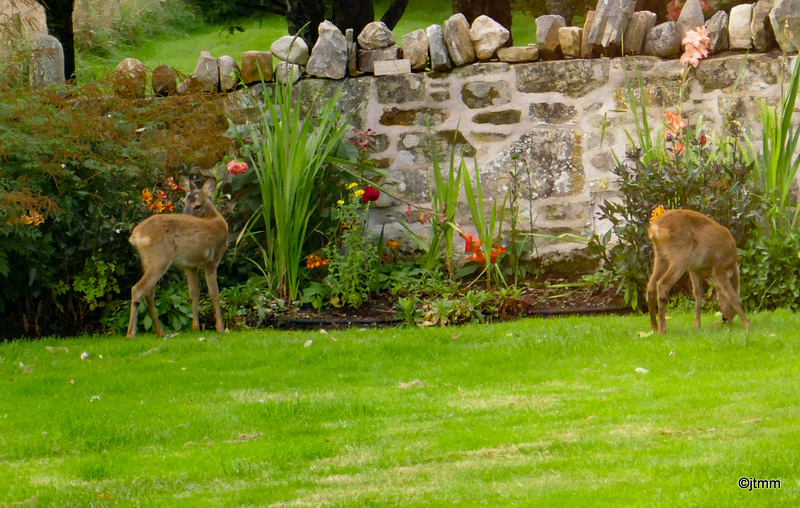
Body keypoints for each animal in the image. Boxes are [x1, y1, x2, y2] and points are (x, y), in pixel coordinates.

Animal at [126, 177, 228, 340]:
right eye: (185, 202)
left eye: (197, 206)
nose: (187, 214)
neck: (216, 219)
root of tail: (135, 236)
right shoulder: (212, 260)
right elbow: (214, 292)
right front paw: (221, 328)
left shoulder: (190, 265)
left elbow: (194, 292)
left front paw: (195, 327)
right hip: (159, 259)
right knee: (138, 289)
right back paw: (131, 334)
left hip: (147, 261)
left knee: (149, 293)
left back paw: (160, 331)